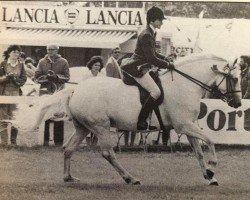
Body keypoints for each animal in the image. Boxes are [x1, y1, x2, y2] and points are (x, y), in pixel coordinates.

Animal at [12, 53, 241, 186]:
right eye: (235, 78)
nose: (238, 103)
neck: (184, 85)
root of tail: (75, 89)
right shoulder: (184, 126)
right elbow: (210, 141)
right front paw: (212, 167)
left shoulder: (189, 126)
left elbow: (199, 152)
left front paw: (209, 176)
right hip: (101, 127)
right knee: (107, 152)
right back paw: (130, 178)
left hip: (82, 128)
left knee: (68, 149)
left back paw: (69, 177)